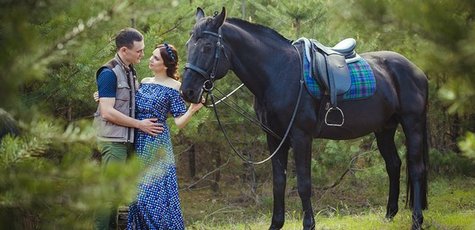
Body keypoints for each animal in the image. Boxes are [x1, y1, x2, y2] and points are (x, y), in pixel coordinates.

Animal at [180, 7, 430, 230]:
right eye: (188, 45)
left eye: (207, 46)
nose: (188, 91)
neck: (279, 72)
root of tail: (418, 71)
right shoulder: (274, 138)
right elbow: (279, 183)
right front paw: (276, 224)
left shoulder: (301, 137)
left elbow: (303, 183)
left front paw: (309, 224)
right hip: (384, 128)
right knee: (393, 165)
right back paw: (389, 215)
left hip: (412, 124)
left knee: (416, 169)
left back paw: (416, 220)